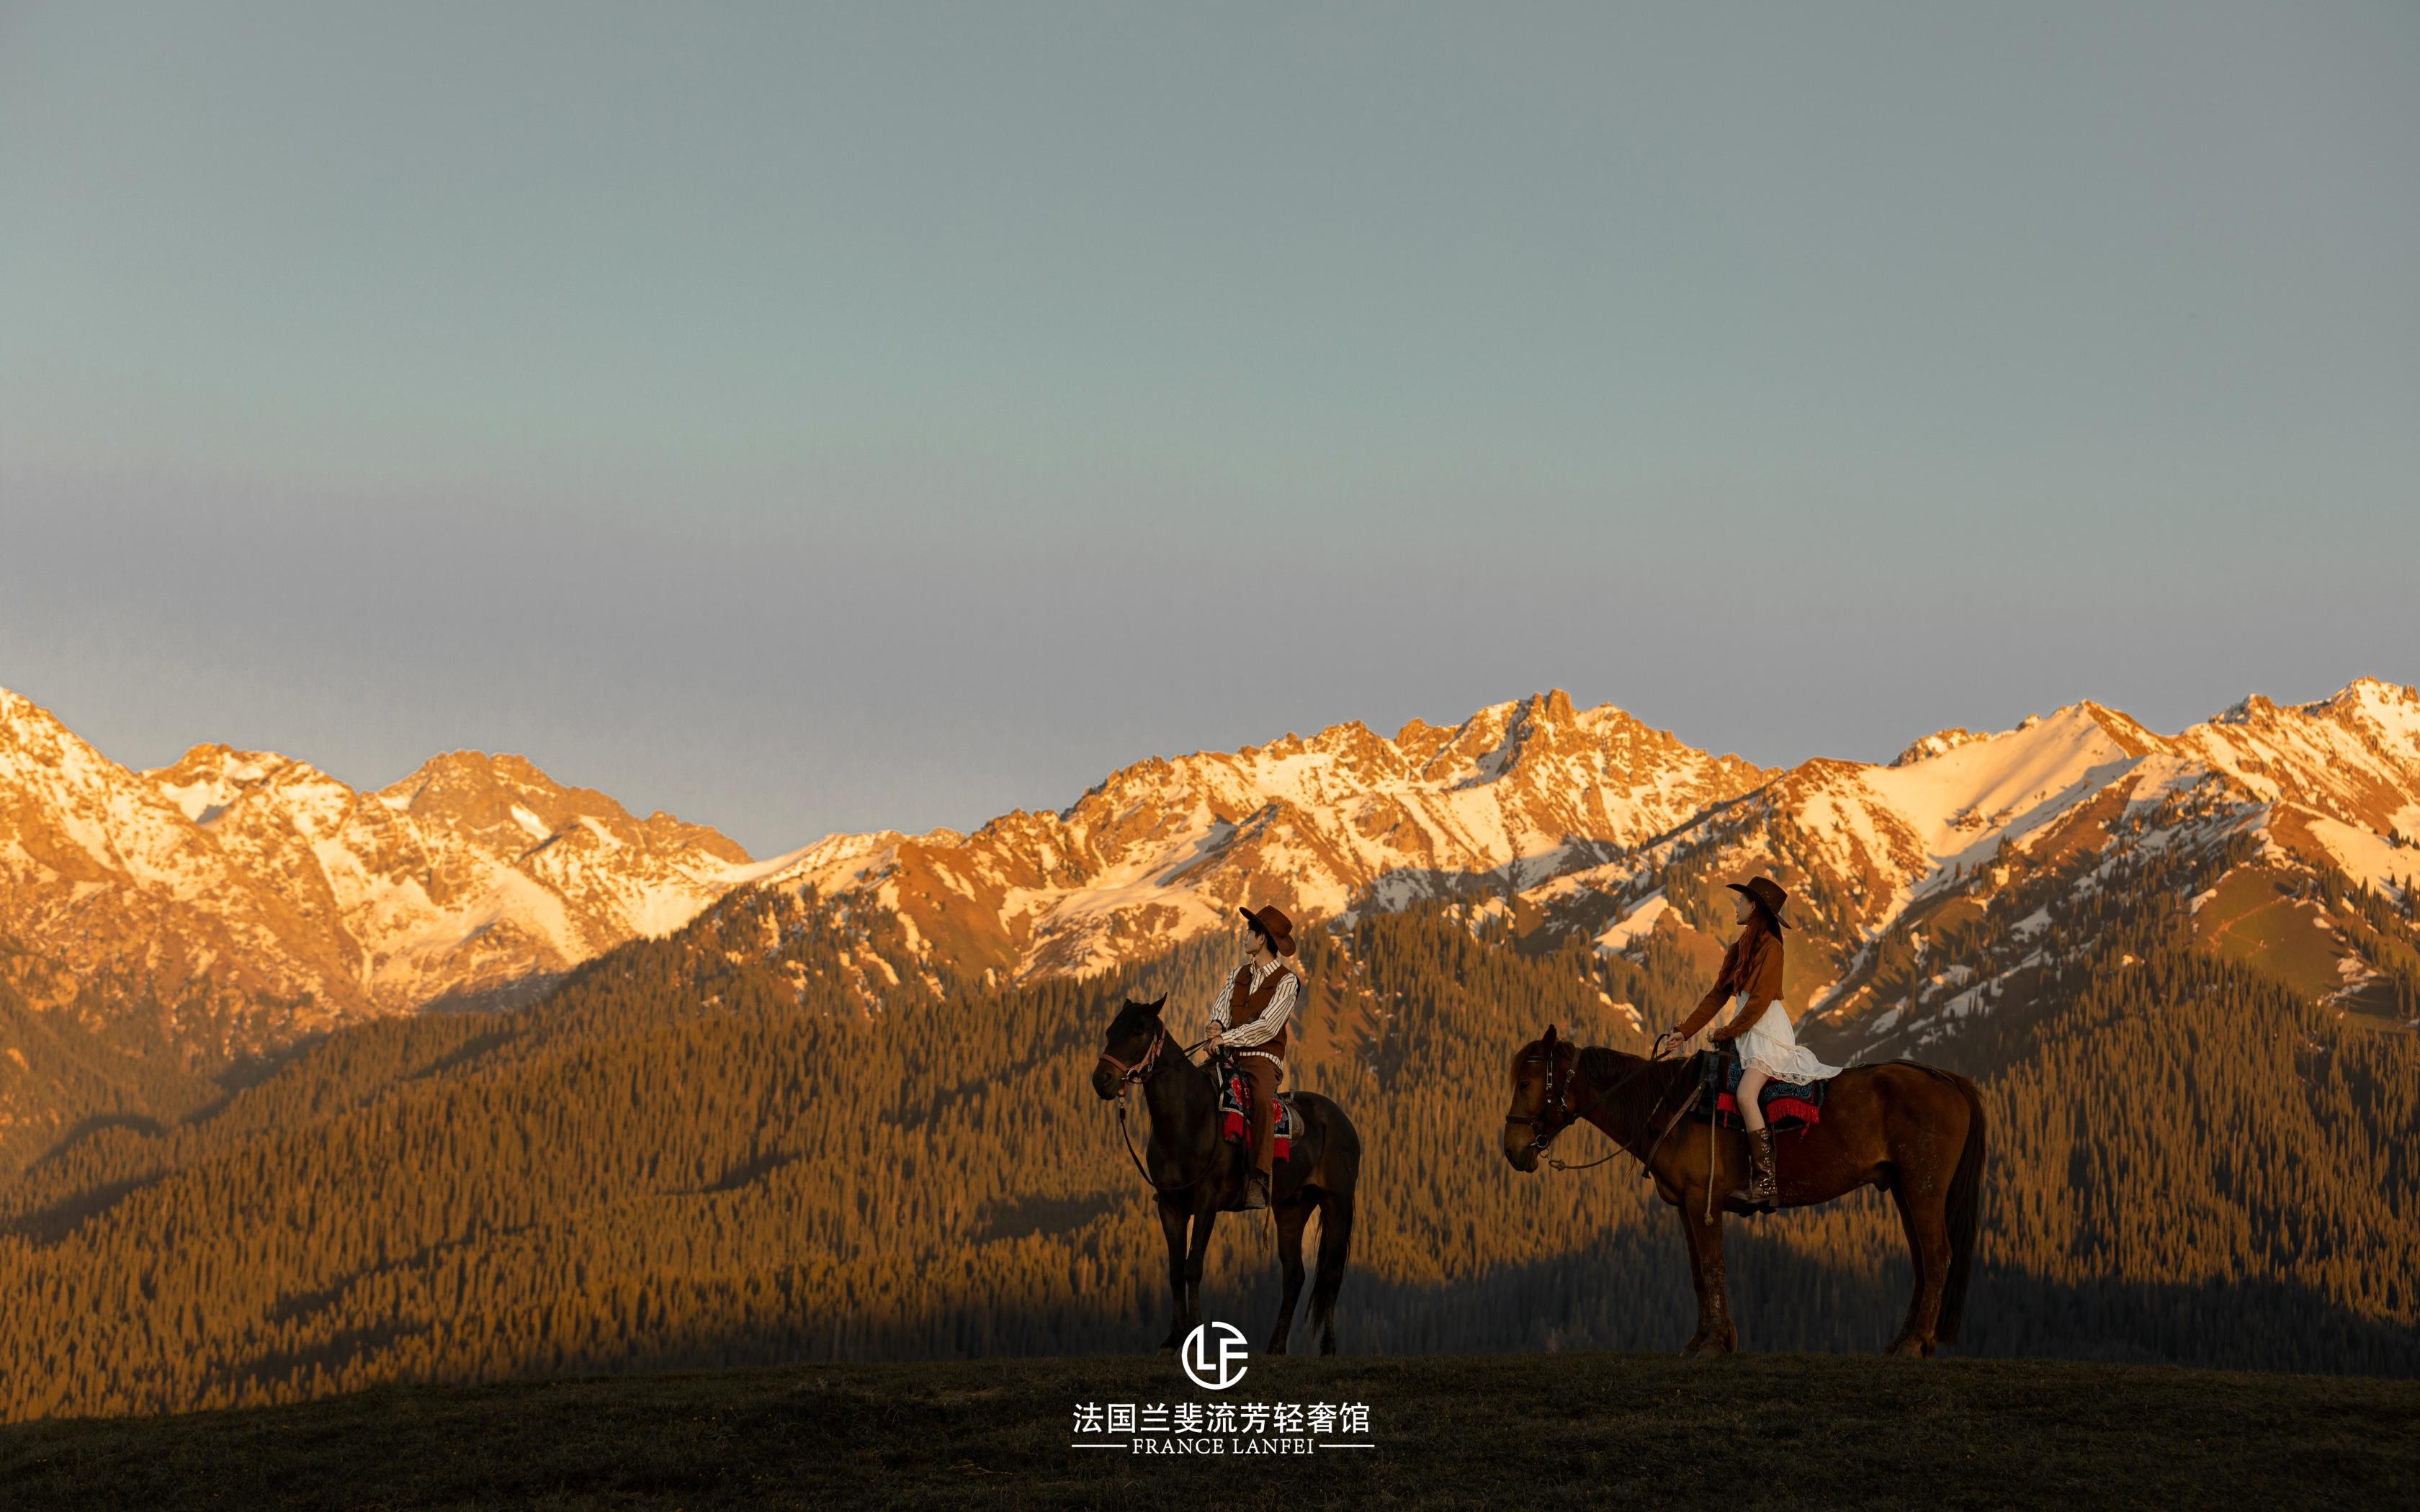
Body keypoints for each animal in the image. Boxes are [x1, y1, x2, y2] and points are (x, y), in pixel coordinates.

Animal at [1098, 996, 1365, 1354]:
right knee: (1294, 1275)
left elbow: (1193, 1267)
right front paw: (1173, 1339)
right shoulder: (1170, 1206)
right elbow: (1175, 1271)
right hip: (1291, 1208)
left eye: (1139, 1031)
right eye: (1110, 1030)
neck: (1187, 1118)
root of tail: (1342, 1119)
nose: (1102, 1080)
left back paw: (1328, 1347)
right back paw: (1276, 1346)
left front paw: (1195, 1337)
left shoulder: (1206, 1202)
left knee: (1333, 1272)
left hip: (1336, 1203)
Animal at [1500, 1025, 1994, 1354]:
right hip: (1904, 1190)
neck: (1671, 1106)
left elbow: (1714, 1268)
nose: (1513, 1149)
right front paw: (1700, 1340)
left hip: (1924, 1188)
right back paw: (1904, 1340)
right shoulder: (1685, 1207)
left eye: (1525, 1083)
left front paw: (1717, 1343)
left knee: (1937, 1256)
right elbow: (1698, 1274)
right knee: (1922, 1261)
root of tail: (1949, 1081)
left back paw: (1915, 1343)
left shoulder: (1703, 1201)